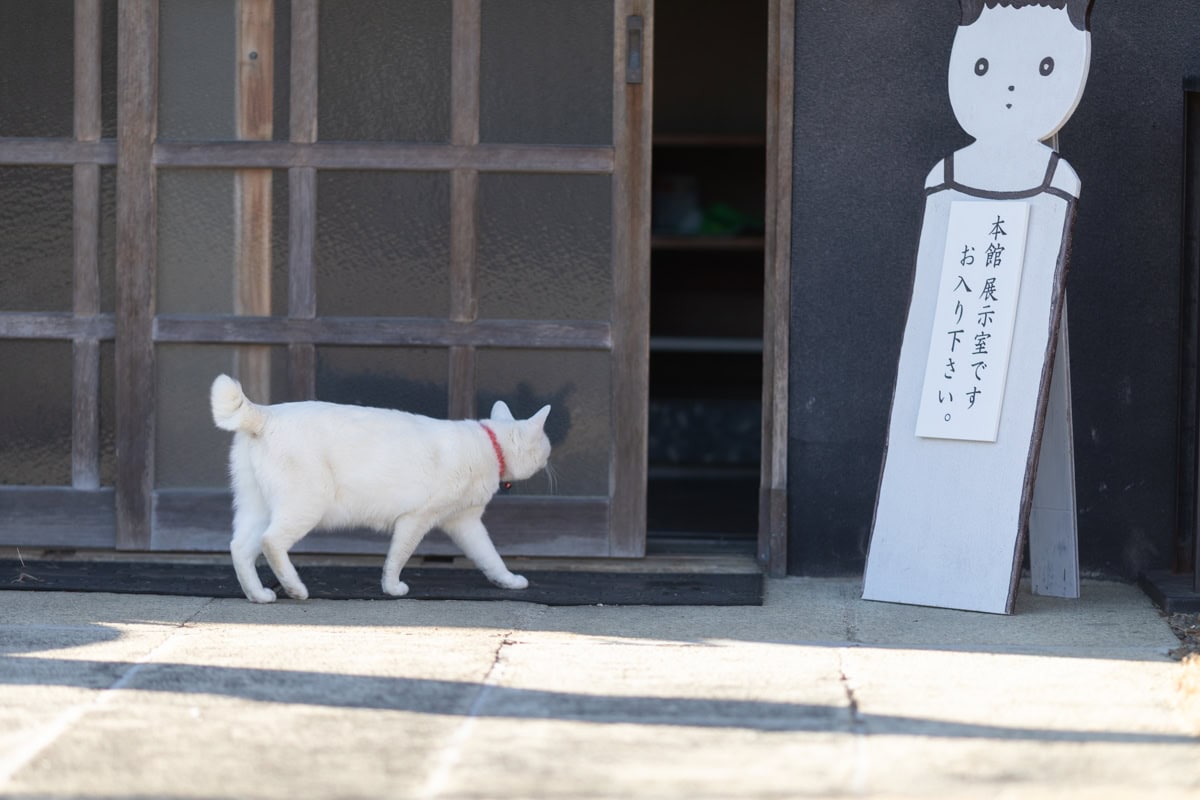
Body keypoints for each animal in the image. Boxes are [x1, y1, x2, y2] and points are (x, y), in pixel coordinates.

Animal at [212, 371, 552, 604]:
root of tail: (266, 414)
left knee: (240, 547)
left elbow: (489, 556)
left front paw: (508, 581)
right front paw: (392, 588)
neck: (489, 445)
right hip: (306, 504)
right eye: (546, 447)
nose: (550, 457)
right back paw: (295, 588)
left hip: (257, 508)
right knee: (270, 541)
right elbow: (398, 556)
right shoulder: (416, 519)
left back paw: (258, 594)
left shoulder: (465, 522)